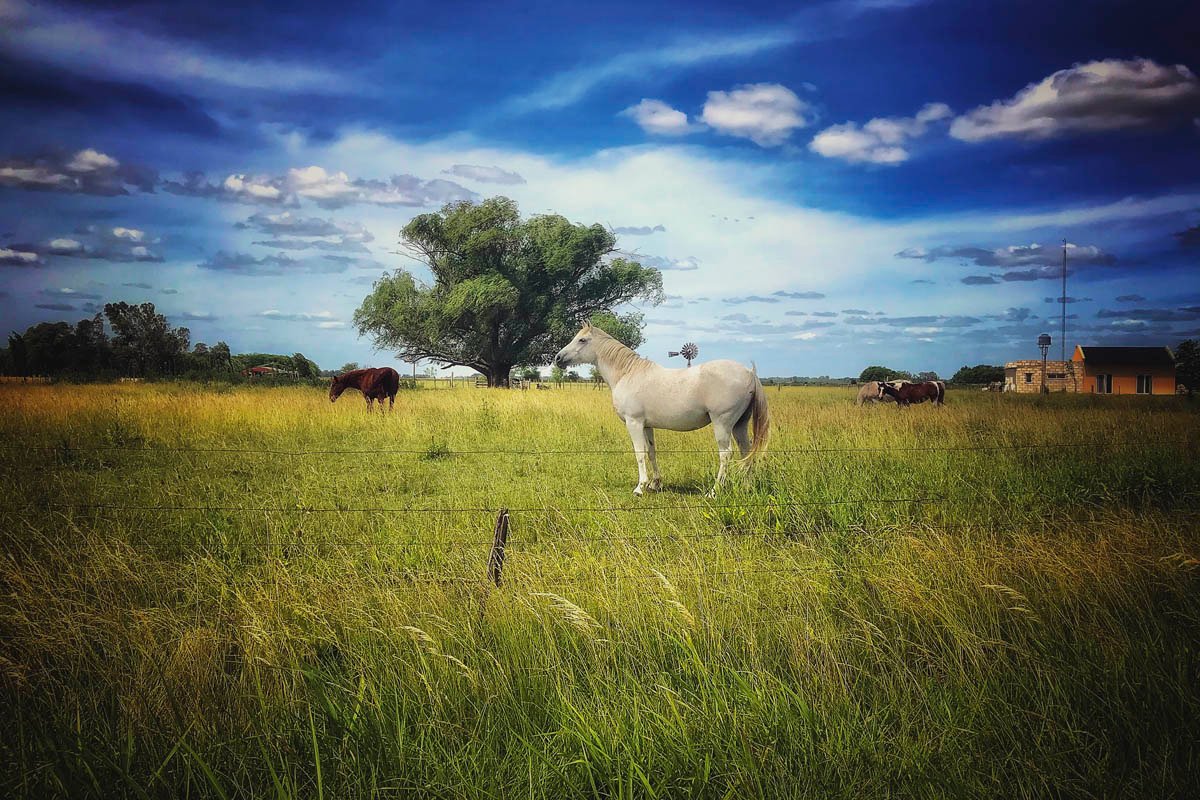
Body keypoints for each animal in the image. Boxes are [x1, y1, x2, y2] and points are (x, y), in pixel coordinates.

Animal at [554, 322, 770, 495]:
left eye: (582, 340)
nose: (558, 358)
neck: (628, 374)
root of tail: (749, 372)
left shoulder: (634, 422)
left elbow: (639, 453)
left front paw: (640, 487)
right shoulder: (646, 425)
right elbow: (651, 452)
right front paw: (655, 484)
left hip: (722, 424)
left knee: (726, 455)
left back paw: (714, 491)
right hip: (740, 425)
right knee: (746, 453)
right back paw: (746, 487)